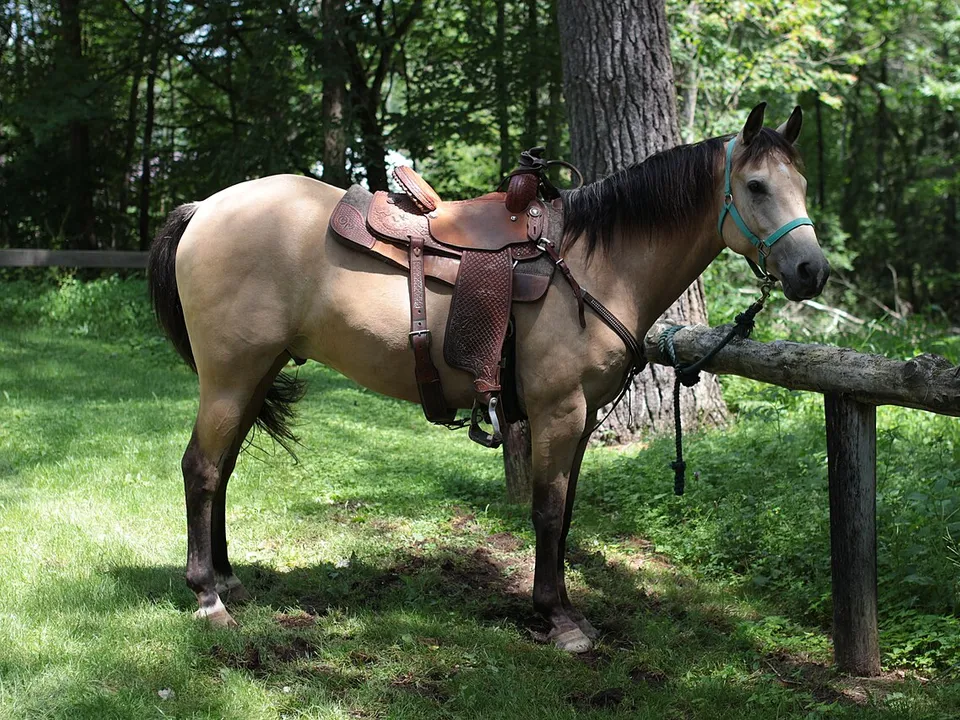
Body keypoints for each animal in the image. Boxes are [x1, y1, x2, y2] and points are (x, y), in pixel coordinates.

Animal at [147, 103, 829, 653]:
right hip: (230, 376)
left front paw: (565, 609)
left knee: (223, 469)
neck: (595, 265)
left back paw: (228, 577)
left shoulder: (582, 418)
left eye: (801, 183)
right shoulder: (559, 411)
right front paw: (558, 620)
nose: (811, 270)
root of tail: (205, 207)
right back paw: (208, 597)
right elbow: (548, 510)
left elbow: (567, 509)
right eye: (756, 185)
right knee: (200, 468)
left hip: (255, 375)